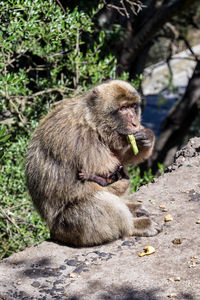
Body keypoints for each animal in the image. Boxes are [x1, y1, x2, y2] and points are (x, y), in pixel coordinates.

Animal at [25, 79, 162, 246]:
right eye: (123, 108)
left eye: (132, 107)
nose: (135, 123)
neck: (93, 123)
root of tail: (54, 232)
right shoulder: (82, 142)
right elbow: (98, 183)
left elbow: (121, 157)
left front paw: (146, 138)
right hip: (70, 228)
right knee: (99, 202)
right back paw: (135, 226)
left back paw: (133, 208)